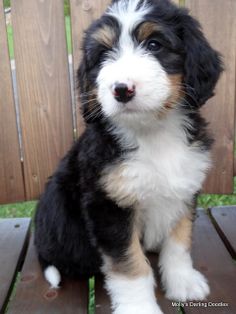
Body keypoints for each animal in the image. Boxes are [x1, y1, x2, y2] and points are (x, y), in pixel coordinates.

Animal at [34, 0, 222, 314]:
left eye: (154, 44)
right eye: (103, 55)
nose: (122, 89)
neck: (153, 133)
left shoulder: (184, 189)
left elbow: (179, 243)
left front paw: (183, 283)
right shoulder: (109, 206)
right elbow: (130, 265)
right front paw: (139, 307)